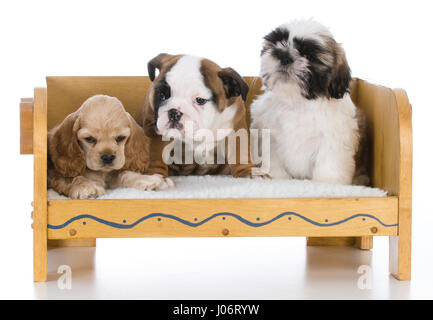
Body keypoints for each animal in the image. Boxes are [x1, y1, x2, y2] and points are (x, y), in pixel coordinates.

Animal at [136, 52, 264, 178]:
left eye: (200, 100)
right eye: (162, 95)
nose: (174, 112)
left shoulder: (236, 129)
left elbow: (240, 152)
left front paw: (247, 171)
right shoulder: (154, 129)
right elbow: (157, 154)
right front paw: (155, 174)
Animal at [250, 19, 368, 185]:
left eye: (308, 56)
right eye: (278, 43)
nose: (285, 55)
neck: (296, 102)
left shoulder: (333, 139)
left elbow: (329, 163)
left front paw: (326, 181)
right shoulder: (269, 137)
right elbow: (273, 160)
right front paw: (277, 177)